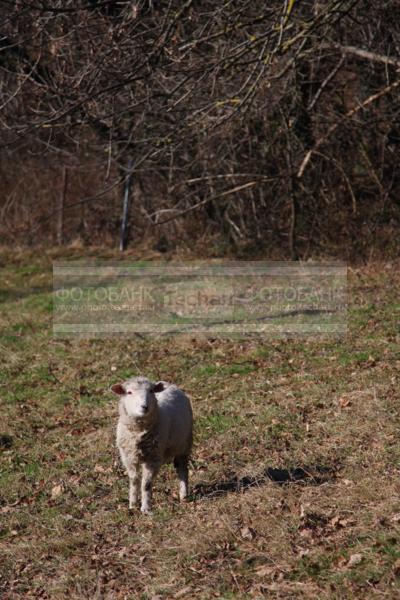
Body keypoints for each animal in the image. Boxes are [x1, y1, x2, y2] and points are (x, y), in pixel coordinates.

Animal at [110, 376, 193, 510]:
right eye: (129, 392)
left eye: (151, 391)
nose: (144, 406)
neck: (139, 433)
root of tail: (170, 384)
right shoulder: (128, 458)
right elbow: (134, 481)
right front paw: (132, 505)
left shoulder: (153, 459)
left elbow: (146, 484)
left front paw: (145, 508)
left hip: (185, 444)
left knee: (182, 469)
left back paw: (184, 494)